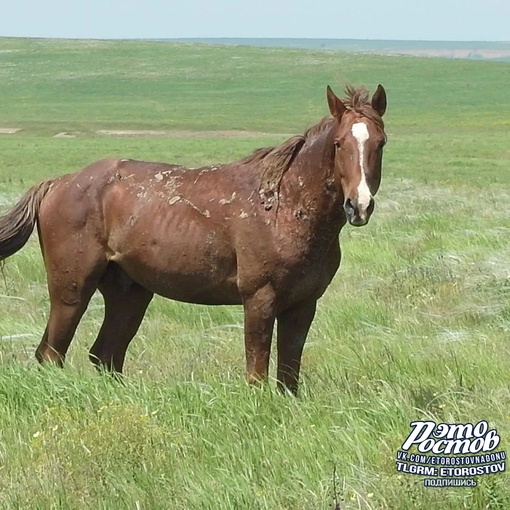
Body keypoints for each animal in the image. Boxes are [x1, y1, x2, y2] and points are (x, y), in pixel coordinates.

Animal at [0, 83, 386, 394]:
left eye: (380, 143)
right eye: (338, 144)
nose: (359, 205)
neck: (284, 206)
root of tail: (58, 182)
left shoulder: (303, 305)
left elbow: (288, 377)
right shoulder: (259, 300)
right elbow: (257, 373)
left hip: (130, 294)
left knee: (106, 355)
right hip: (72, 291)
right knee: (51, 354)